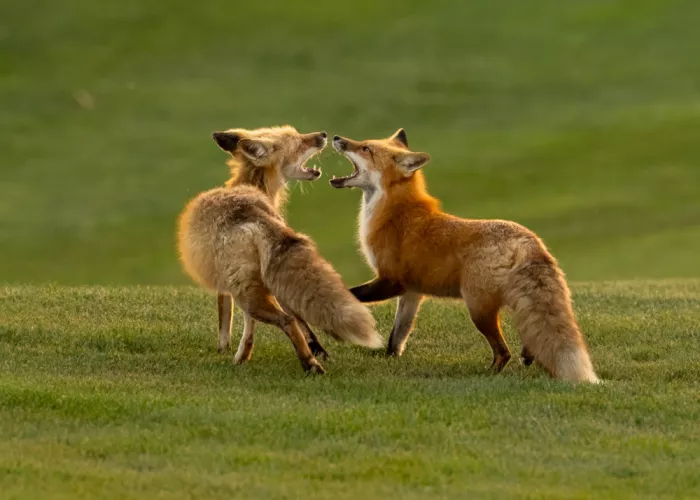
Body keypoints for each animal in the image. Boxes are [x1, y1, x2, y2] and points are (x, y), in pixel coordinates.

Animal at [177, 125, 382, 374]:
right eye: (299, 142)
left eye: (298, 135)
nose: (323, 135)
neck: (252, 187)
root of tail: (252, 210)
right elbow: (257, 328)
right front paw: (242, 355)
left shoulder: (227, 287)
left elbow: (225, 322)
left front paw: (225, 350)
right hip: (256, 287)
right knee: (289, 319)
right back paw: (313, 357)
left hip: (247, 295)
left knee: (286, 320)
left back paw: (309, 364)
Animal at [329, 129, 599, 383]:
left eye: (365, 148)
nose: (336, 137)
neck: (393, 212)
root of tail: (528, 240)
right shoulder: (412, 292)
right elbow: (398, 335)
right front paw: (390, 360)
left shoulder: (391, 279)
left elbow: (352, 295)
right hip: (510, 302)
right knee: (528, 336)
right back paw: (528, 356)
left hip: (478, 309)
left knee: (503, 352)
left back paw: (488, 374)